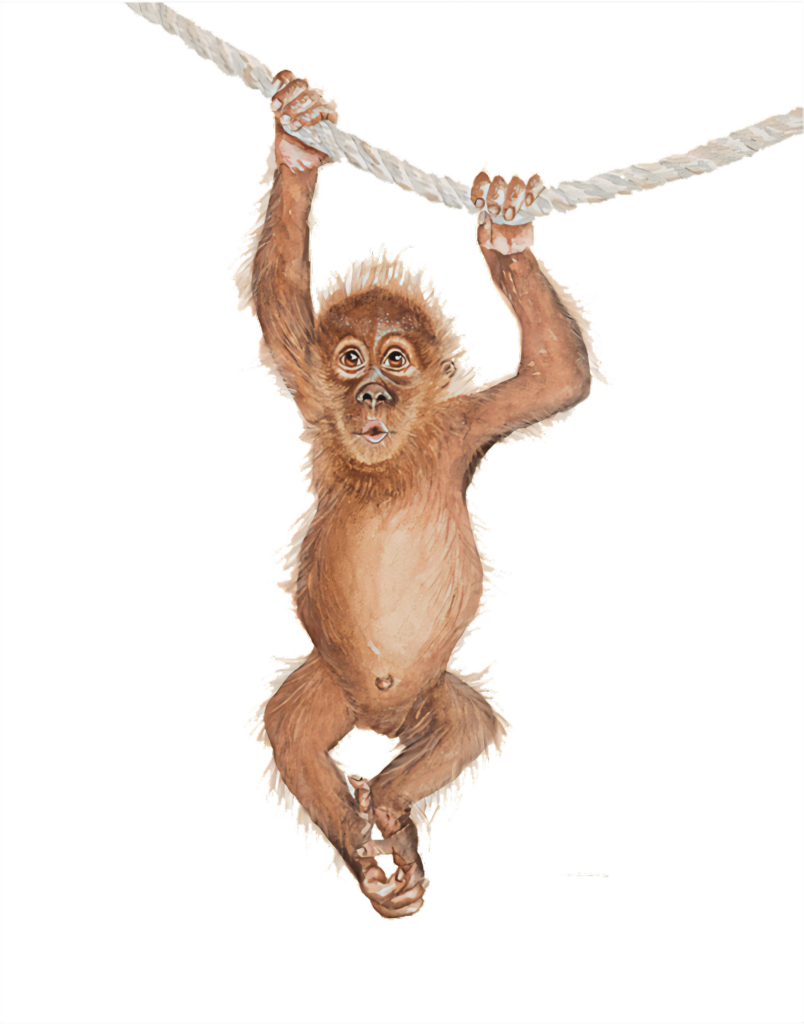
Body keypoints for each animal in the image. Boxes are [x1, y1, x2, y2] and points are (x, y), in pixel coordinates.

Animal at [232, 70, 613, 919]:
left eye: (397, 360)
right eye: (350, 358)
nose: (373, 393)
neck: (397, 452)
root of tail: (382, 714)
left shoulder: (463, 426)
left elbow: (555, 378)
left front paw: (504, 231)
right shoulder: (313, 386)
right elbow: (279, 296)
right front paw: (298, 140)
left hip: (431, 698)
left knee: (466, 726)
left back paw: (391, 810)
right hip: (335, 685)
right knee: (296, 727)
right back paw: (373, 855)